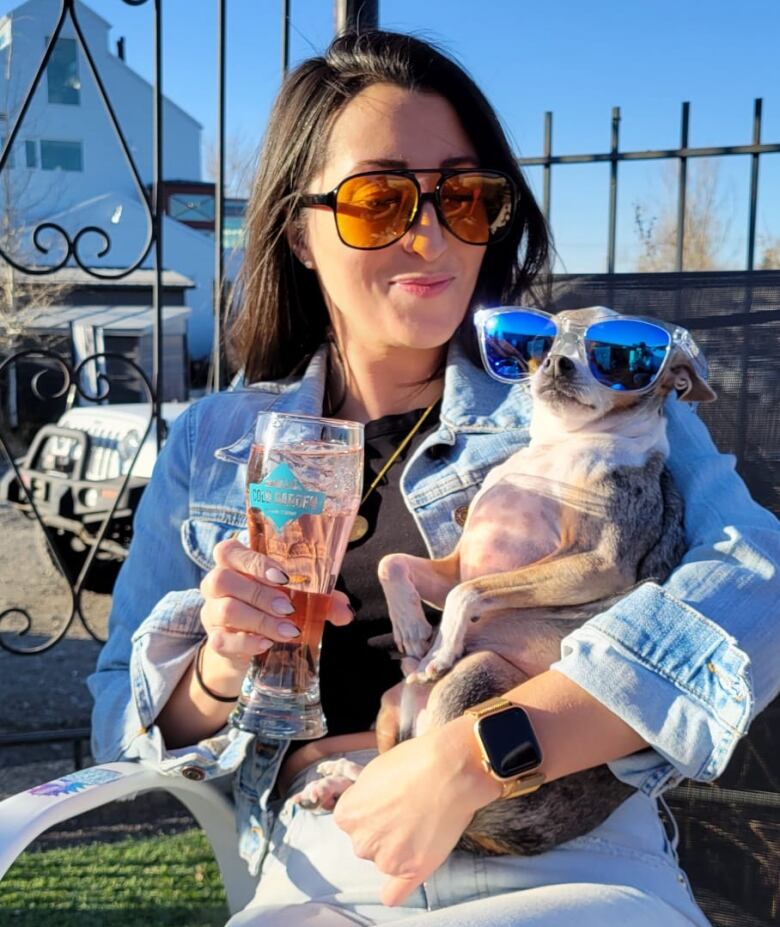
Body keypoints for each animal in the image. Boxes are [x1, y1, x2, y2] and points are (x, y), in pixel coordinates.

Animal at [296, 308, 716, 860]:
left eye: (619, 357)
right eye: (547, 339)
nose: (557, 363)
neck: (563, 445)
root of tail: (487, 837)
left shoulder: (597, 562)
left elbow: (467, 592)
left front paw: (437, 648)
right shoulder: (456, 563)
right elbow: (395, 563)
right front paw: (412, 629)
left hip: (477, 673)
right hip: (393, 701)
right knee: (385, 759)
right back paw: (338, 778)